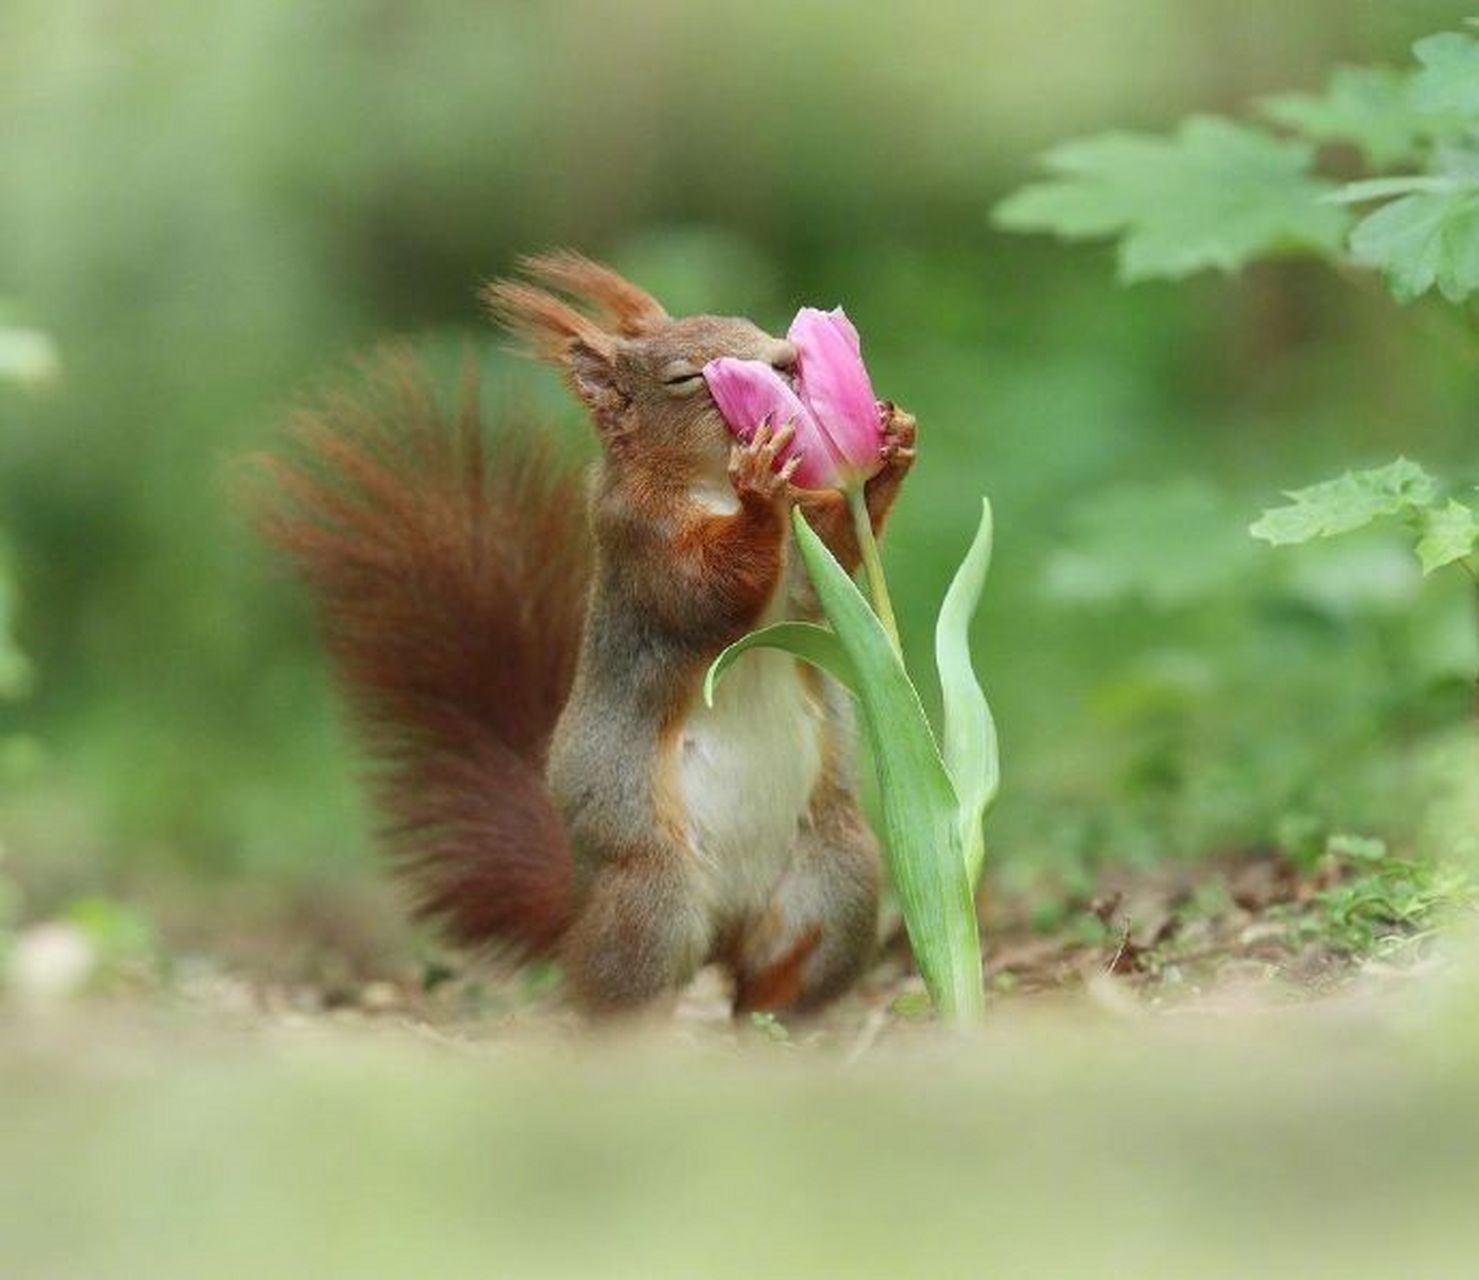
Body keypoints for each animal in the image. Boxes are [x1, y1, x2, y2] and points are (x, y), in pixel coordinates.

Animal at [260, 247, 916, 1006]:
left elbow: (828, 561)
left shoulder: (806, 552)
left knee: (773, 980)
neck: (707, 482)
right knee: (610, 995)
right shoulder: (638, 541)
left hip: (834, 877)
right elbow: (704, 592)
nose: (786, 360)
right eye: (686, 377)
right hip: (653, 905)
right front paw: (758, 488)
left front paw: (891, 445)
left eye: (752, 325)